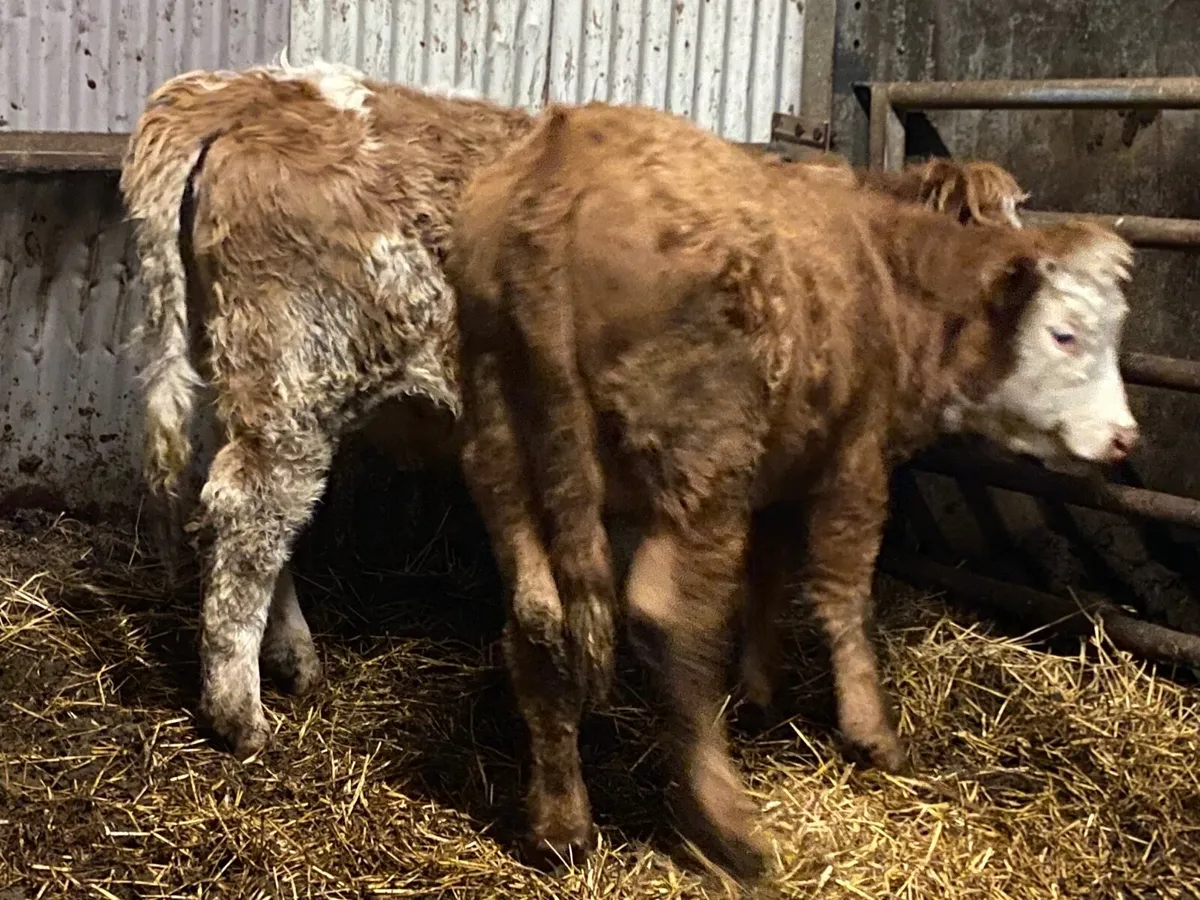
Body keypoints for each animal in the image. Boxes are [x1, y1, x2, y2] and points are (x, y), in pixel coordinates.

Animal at [445, 101, 1135, 879]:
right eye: (1065, 334)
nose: (1124, 437)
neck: (889, 272)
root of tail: (569, 153)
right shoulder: (854, 458)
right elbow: (842, 591)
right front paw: (871, 731)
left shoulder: (783, 470)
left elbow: (768, 577)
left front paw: (760, 689)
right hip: (706, 463)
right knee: (668, 617)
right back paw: (725, 825)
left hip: (505, 457)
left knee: (538, 620)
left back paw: (561, 823)